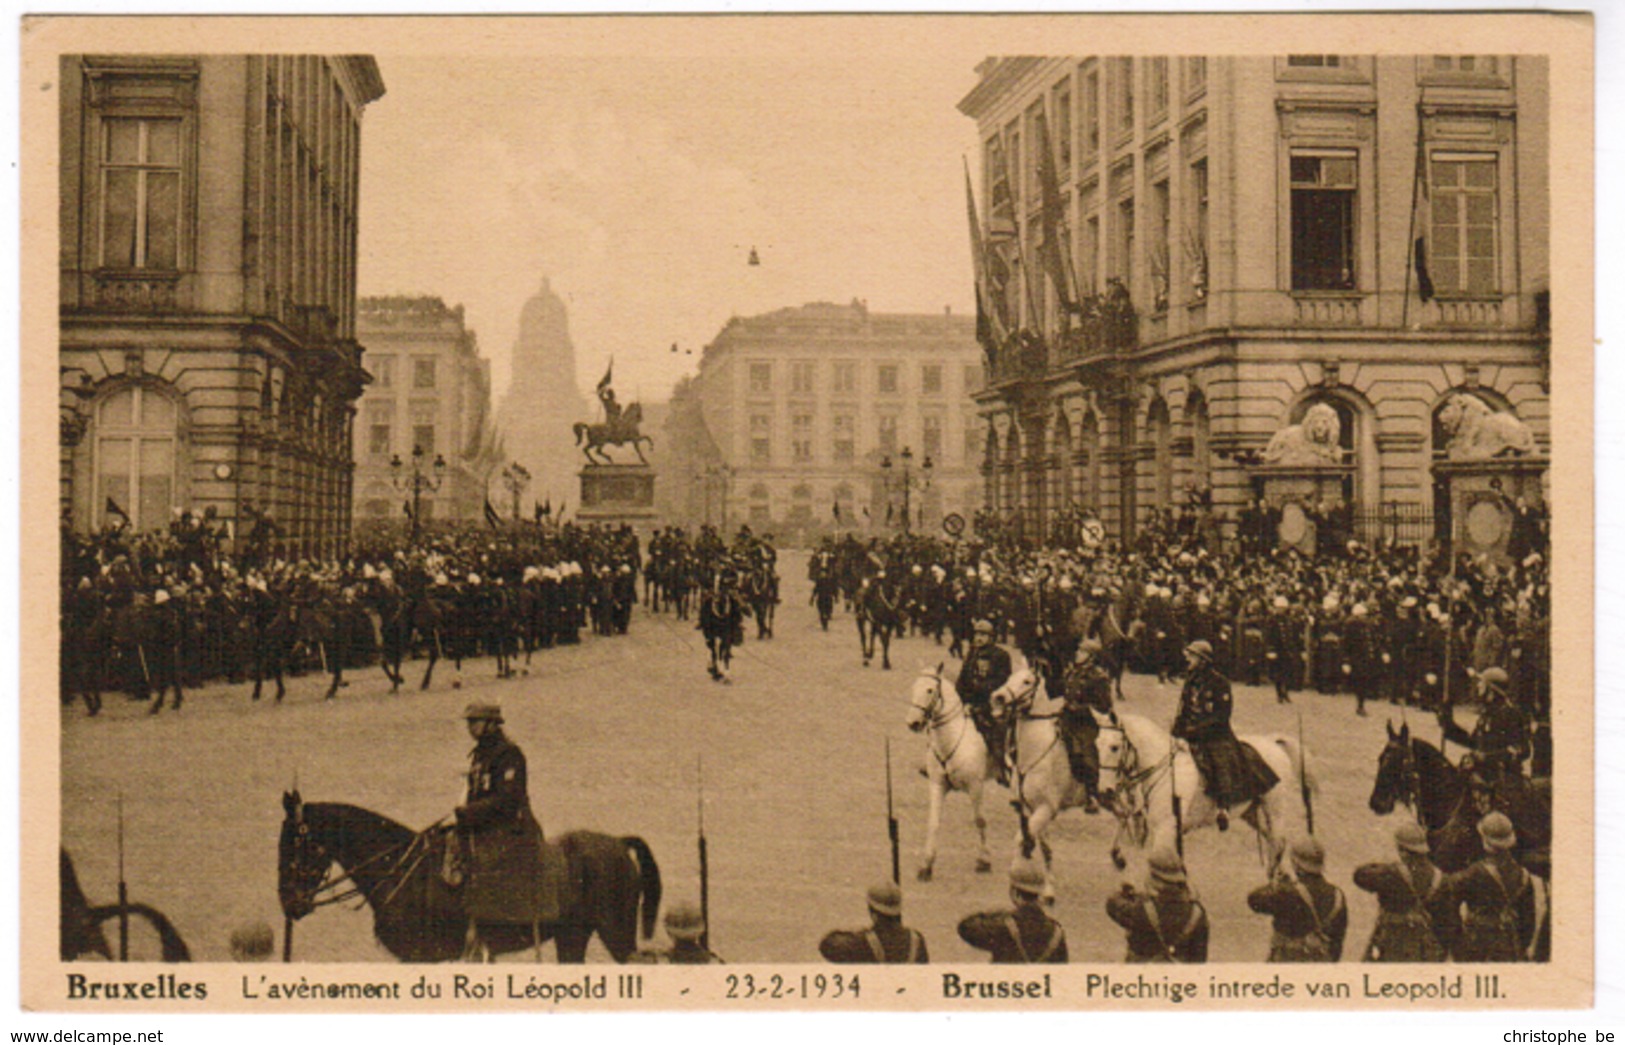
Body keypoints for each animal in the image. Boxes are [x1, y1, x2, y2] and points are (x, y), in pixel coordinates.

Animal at [279, 793, 659, 962]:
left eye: (294, 845)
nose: (288, 903)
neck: (404, 869)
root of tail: (617, 843)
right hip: (572, 937)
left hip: (616, 933)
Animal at [903, 666, 988, 877]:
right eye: (914, 687)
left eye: (930, 690)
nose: (912, 723)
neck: (953, 737)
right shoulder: (937, 784)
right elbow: (933, 822)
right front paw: (926, 865)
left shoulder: (975, 786)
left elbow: (979, 820)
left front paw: (984, 861)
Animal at [988, 666, 1092, 897]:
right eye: (1010, 677)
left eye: (1027, 681)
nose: (998, 698)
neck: (1035, 751)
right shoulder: (1031, 810)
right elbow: (1044, 848)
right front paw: (1049, 890)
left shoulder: (1046, 809)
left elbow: (1021, 839)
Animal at [1085, 708, 1313, 871]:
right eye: (1096, 744)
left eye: (1114, 747)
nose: (1103, 791)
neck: (1167, 771)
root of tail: (1272, 743)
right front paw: (1118, 856)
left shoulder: (1166, 828)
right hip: (1252, 814)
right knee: (1273, 844)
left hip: (1275, 811)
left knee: (1278, 843)